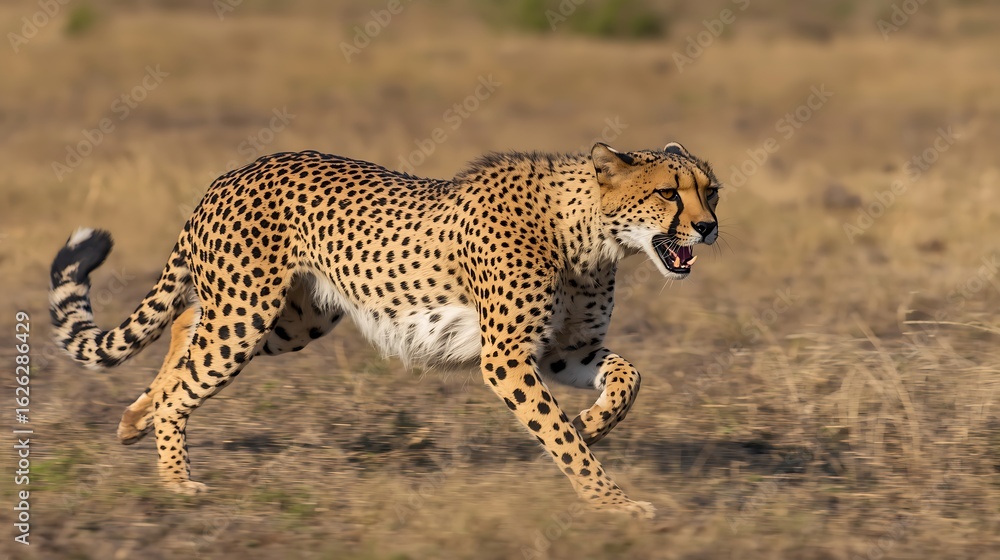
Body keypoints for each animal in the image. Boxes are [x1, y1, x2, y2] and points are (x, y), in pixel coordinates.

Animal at [49, 141, 721, 518]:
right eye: (669, 193)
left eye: (710, 191)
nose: (710, 227)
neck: (592, 236)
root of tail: (235, 171)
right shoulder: (506, 357)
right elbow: (561, 439)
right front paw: (614, 502)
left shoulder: (562, 350)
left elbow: (629, 378)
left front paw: (593, 423)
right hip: (247, 316)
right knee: (189, 367)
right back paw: (174, 478)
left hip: (292, 318)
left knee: (187, 322)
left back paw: (135, 417)